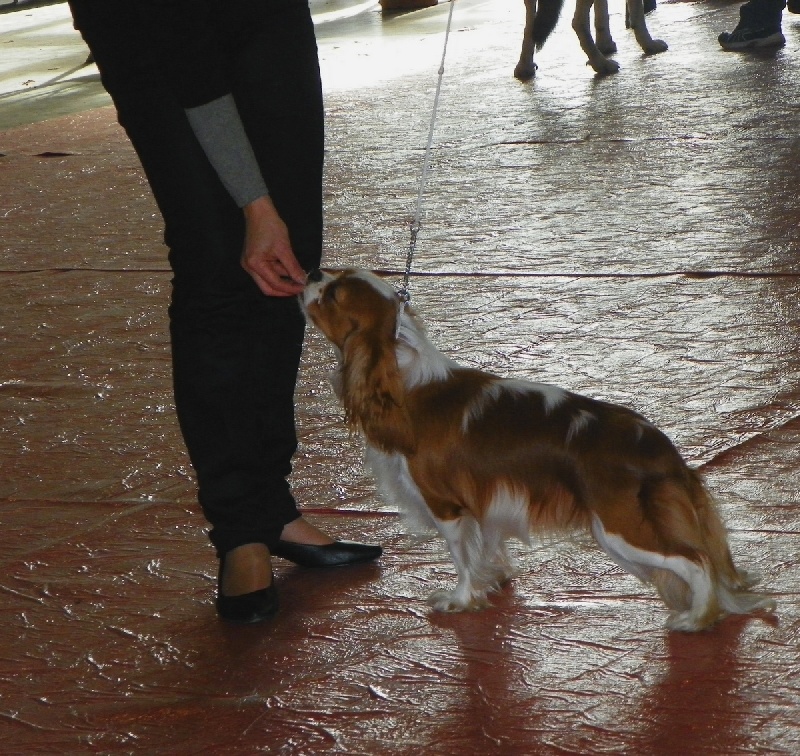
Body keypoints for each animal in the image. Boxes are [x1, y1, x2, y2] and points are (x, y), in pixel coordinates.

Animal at [301, 268, 776, 631]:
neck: (401, 381)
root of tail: (660, 446)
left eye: (333, 294)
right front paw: (494, 579)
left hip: (620, 529)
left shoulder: (445, 505)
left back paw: (697, 618)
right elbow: (486, 546)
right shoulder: (486, 500)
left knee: (697, 560)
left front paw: (461, 598)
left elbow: (459, 556)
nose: (310, 274)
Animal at [515, 0, 668, 79]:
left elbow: (602, 14)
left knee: (530, 23)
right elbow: (637, 13)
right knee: (577, 22)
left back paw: (524, 67)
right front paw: (649, 45)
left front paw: (605, 43)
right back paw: (601, 64)